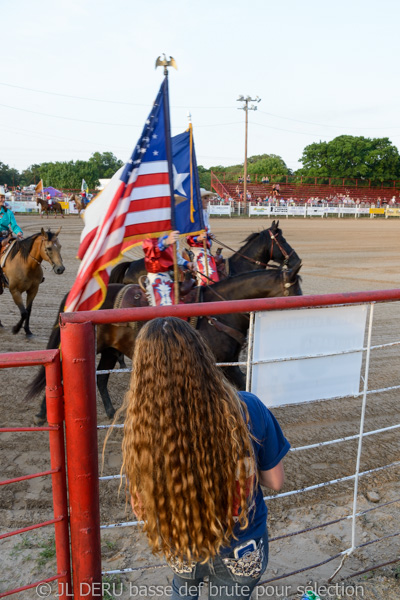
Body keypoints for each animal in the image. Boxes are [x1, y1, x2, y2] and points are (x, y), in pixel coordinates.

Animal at [25, 264, 302, 424]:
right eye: (295, 290)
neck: (220, 312)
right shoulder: (224, 364)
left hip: (110, 350)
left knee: (100, 379)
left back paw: (112, 412)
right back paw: (41, 415)